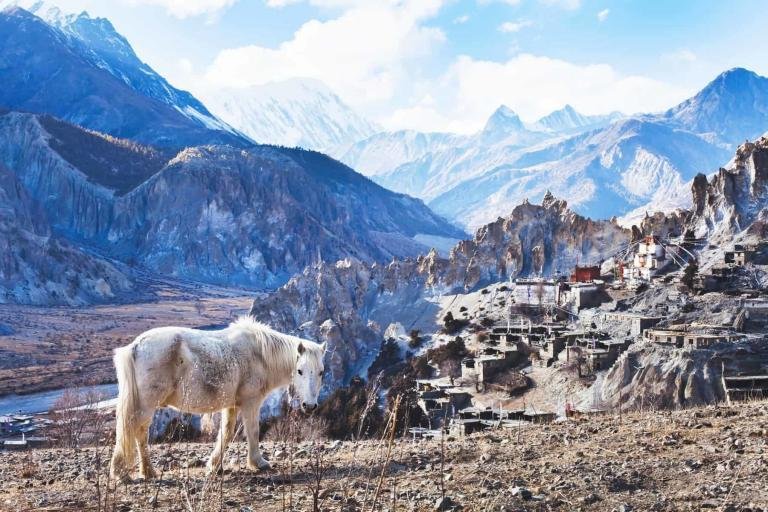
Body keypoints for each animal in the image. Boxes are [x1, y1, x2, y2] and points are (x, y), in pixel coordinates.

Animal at [108, 316, 326, 481]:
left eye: (321, 372)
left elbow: (226, 433)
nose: (310, 406)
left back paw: (146, 472)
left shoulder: (232, 405)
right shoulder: (250, 402)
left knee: (138, 432)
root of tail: (135, 346)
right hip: (147, 404)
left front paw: (215, 465)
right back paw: (125, 472)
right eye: (300, 371)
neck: (259, 354)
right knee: (135, 430)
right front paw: (258, 462)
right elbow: (253, 431)